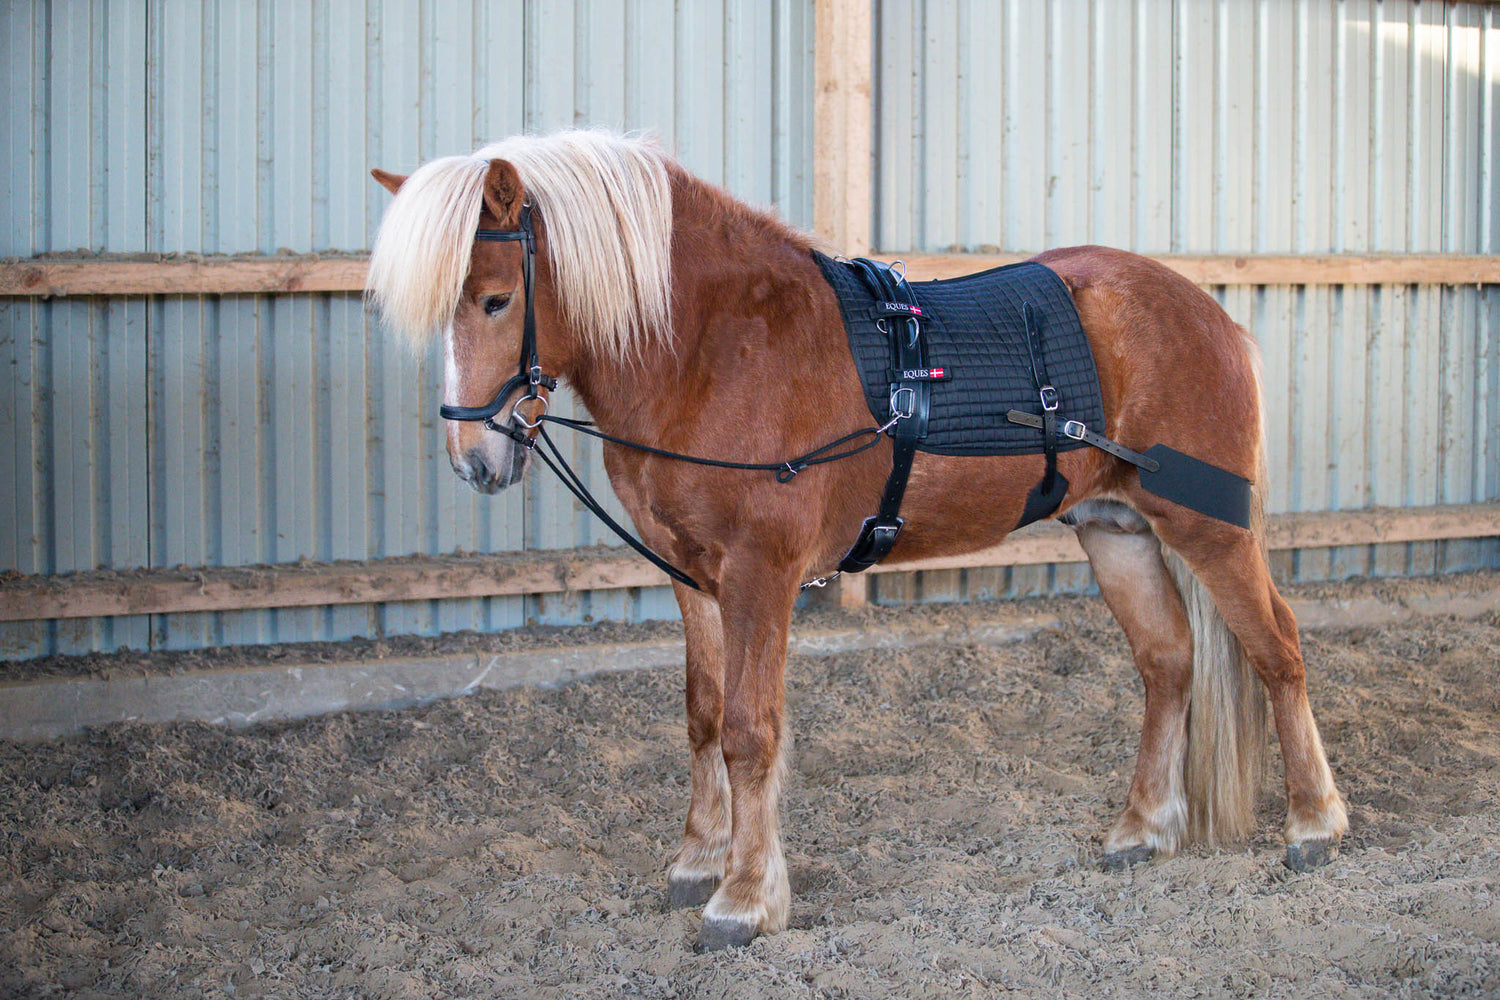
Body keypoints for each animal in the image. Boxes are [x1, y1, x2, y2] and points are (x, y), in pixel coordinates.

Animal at [366, 129, 1348, 951]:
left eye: (496, 299)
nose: (476, 458)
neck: (716, 346)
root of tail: (1206, 314)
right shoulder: (691, 574)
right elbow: (703, 713)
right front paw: (698, 860)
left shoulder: (760, 574)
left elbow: (750, 730)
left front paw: (743, 898)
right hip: (1118, 530)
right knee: (1169, 663)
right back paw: (1143, 828)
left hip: (1208, 529)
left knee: (1277, 648)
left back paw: (1314, 824)